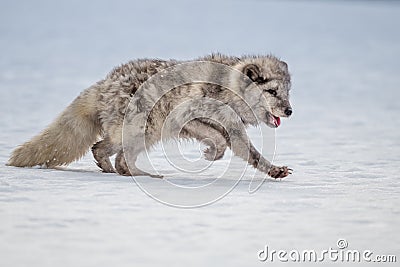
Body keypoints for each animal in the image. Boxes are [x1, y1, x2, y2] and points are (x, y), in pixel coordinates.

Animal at [7, 54, 294, 180]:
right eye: (272, 91)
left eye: (287, 92)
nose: (290, 111)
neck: (227, 90)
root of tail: (104, 83)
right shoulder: (186, 119)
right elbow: (217, 139)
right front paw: (211, 153)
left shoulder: (233, 131)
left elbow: (254, 156)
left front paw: (275, 170)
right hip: (144, 131)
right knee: (105, 150)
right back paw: (132, 174)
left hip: (144, 135)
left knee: (114, 156)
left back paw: (127, 173)